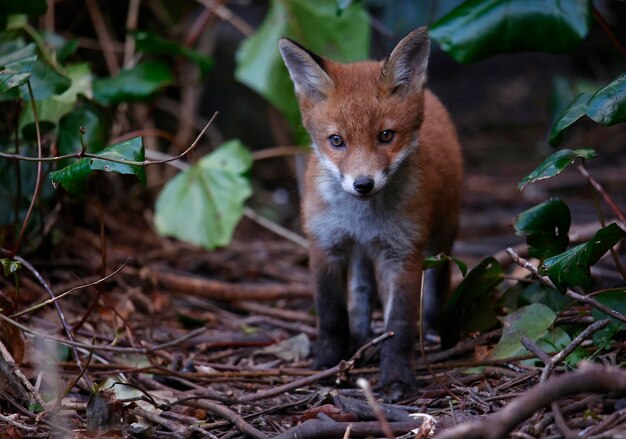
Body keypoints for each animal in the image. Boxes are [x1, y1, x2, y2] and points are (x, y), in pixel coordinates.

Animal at [280, 27, 460, 398]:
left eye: (386, 136)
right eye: (336, 141)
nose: (363, 184)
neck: (362, 220)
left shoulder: (403, 253)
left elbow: (400, 325)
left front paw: (396, 378)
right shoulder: (324, 244)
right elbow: (332, 315)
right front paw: (328, 364)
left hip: (442, 238)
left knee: (435, 287)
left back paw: (431, 329)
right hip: (361, 254)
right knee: (361, 293)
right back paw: (361, 341)